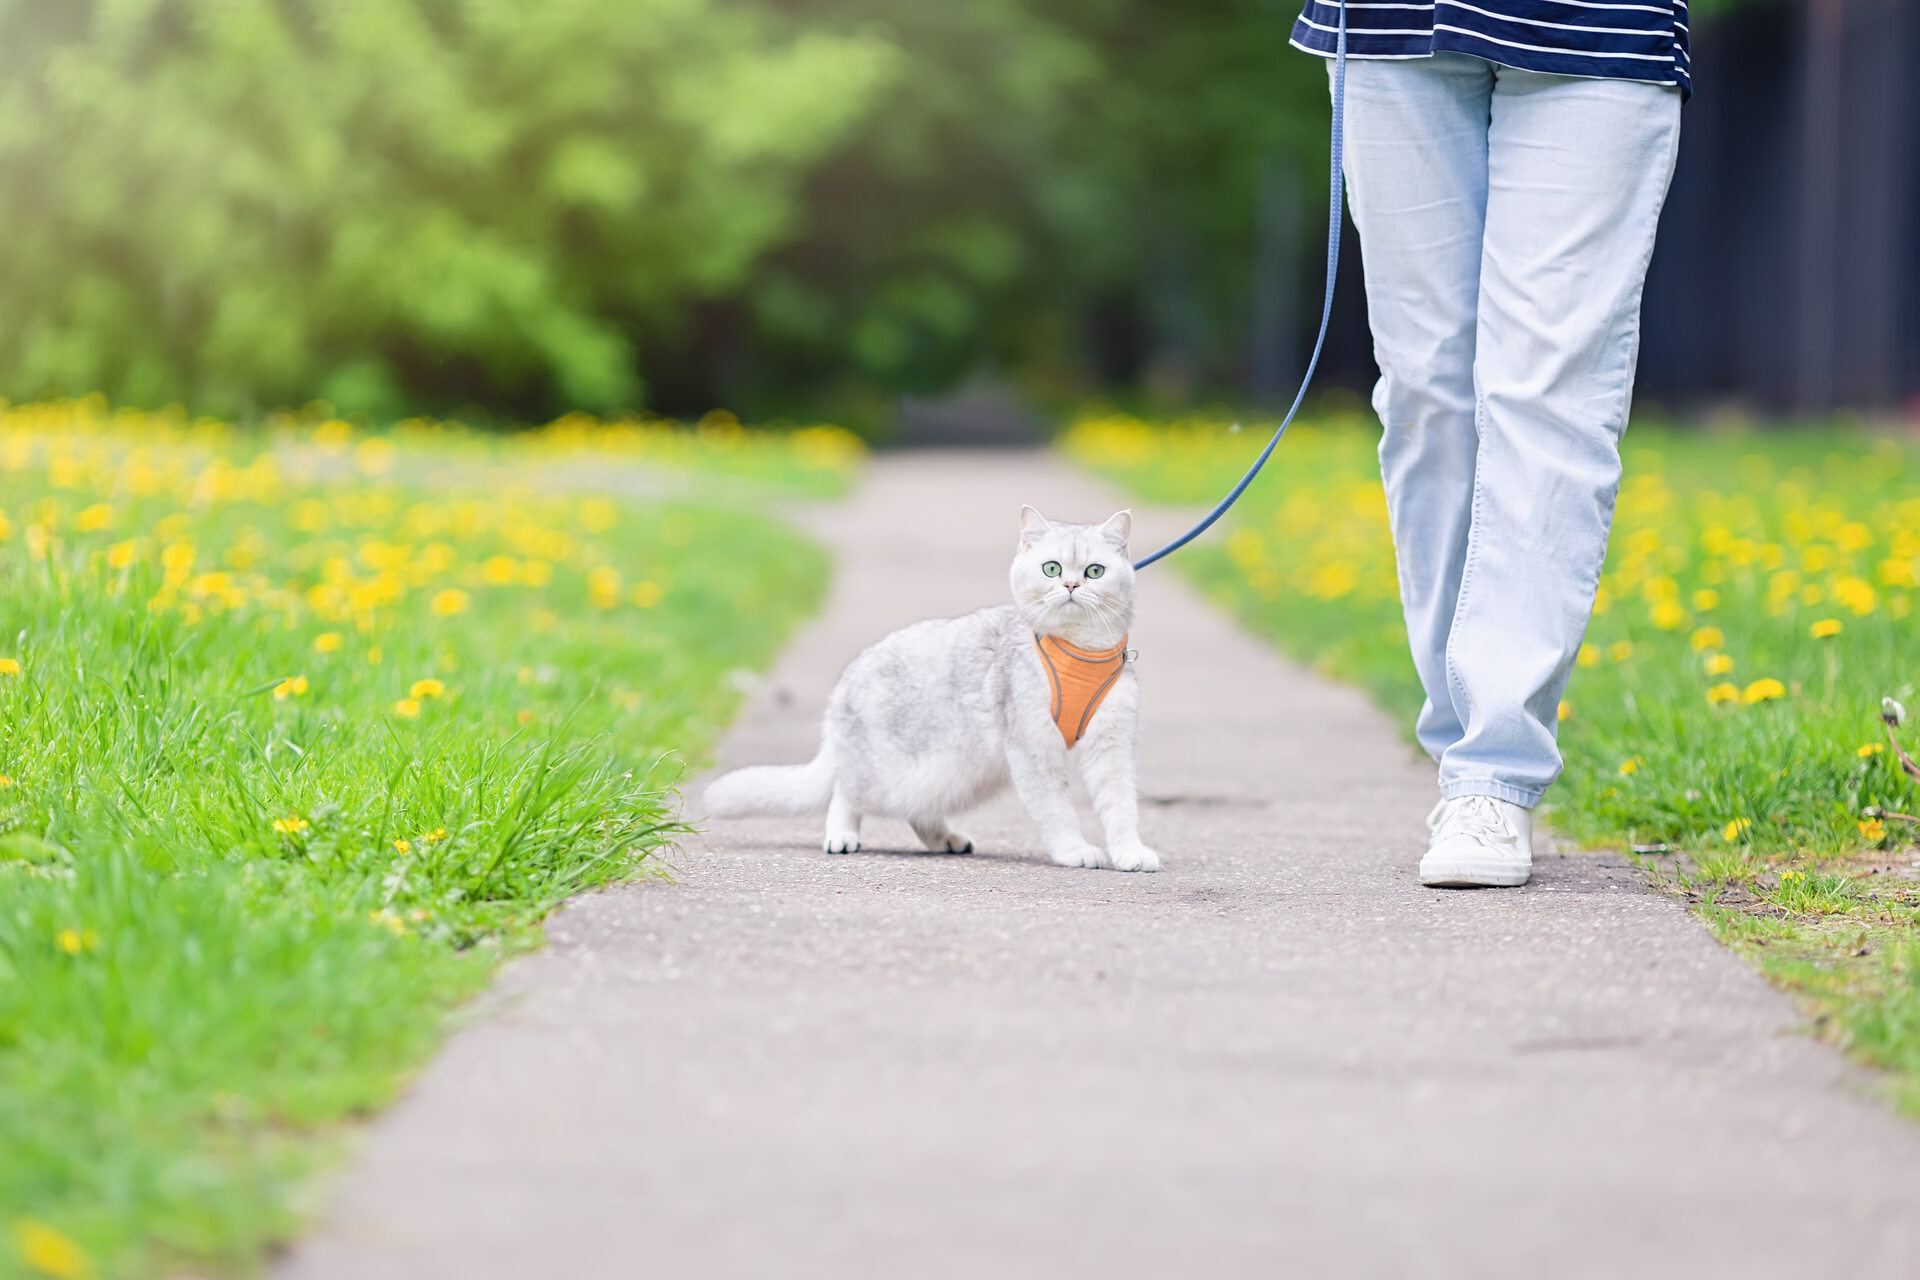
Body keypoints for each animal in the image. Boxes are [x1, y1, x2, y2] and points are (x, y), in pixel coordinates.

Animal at [702, 506, 1152, 875]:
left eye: (1094, 571)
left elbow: (1120, 806)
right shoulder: (1034, 749)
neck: (1080, 651)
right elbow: (1057, 809)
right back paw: (842, 836)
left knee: (919, 813)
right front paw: (1074, 850)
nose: (1072, 586)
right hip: (889, 777)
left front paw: (1129, 853)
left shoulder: (1111, 747)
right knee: (844, 793)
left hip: (956, 775)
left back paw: (947, 840)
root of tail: (841, 690)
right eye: (1052, 569)